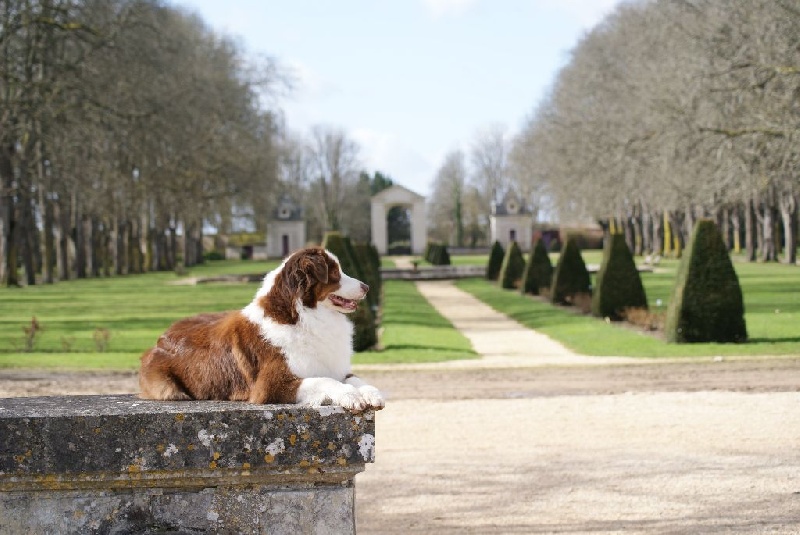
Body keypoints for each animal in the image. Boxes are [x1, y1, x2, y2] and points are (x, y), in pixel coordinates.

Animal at [138, 247, 384, 414]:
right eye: (334, 273)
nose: (367, 287)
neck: (303, 318)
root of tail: (158, 341)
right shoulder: (270, 385)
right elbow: (324, 381)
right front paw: (350, 396)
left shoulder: (336, 367)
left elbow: (355, 378)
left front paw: (372, 393)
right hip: (167, 387)